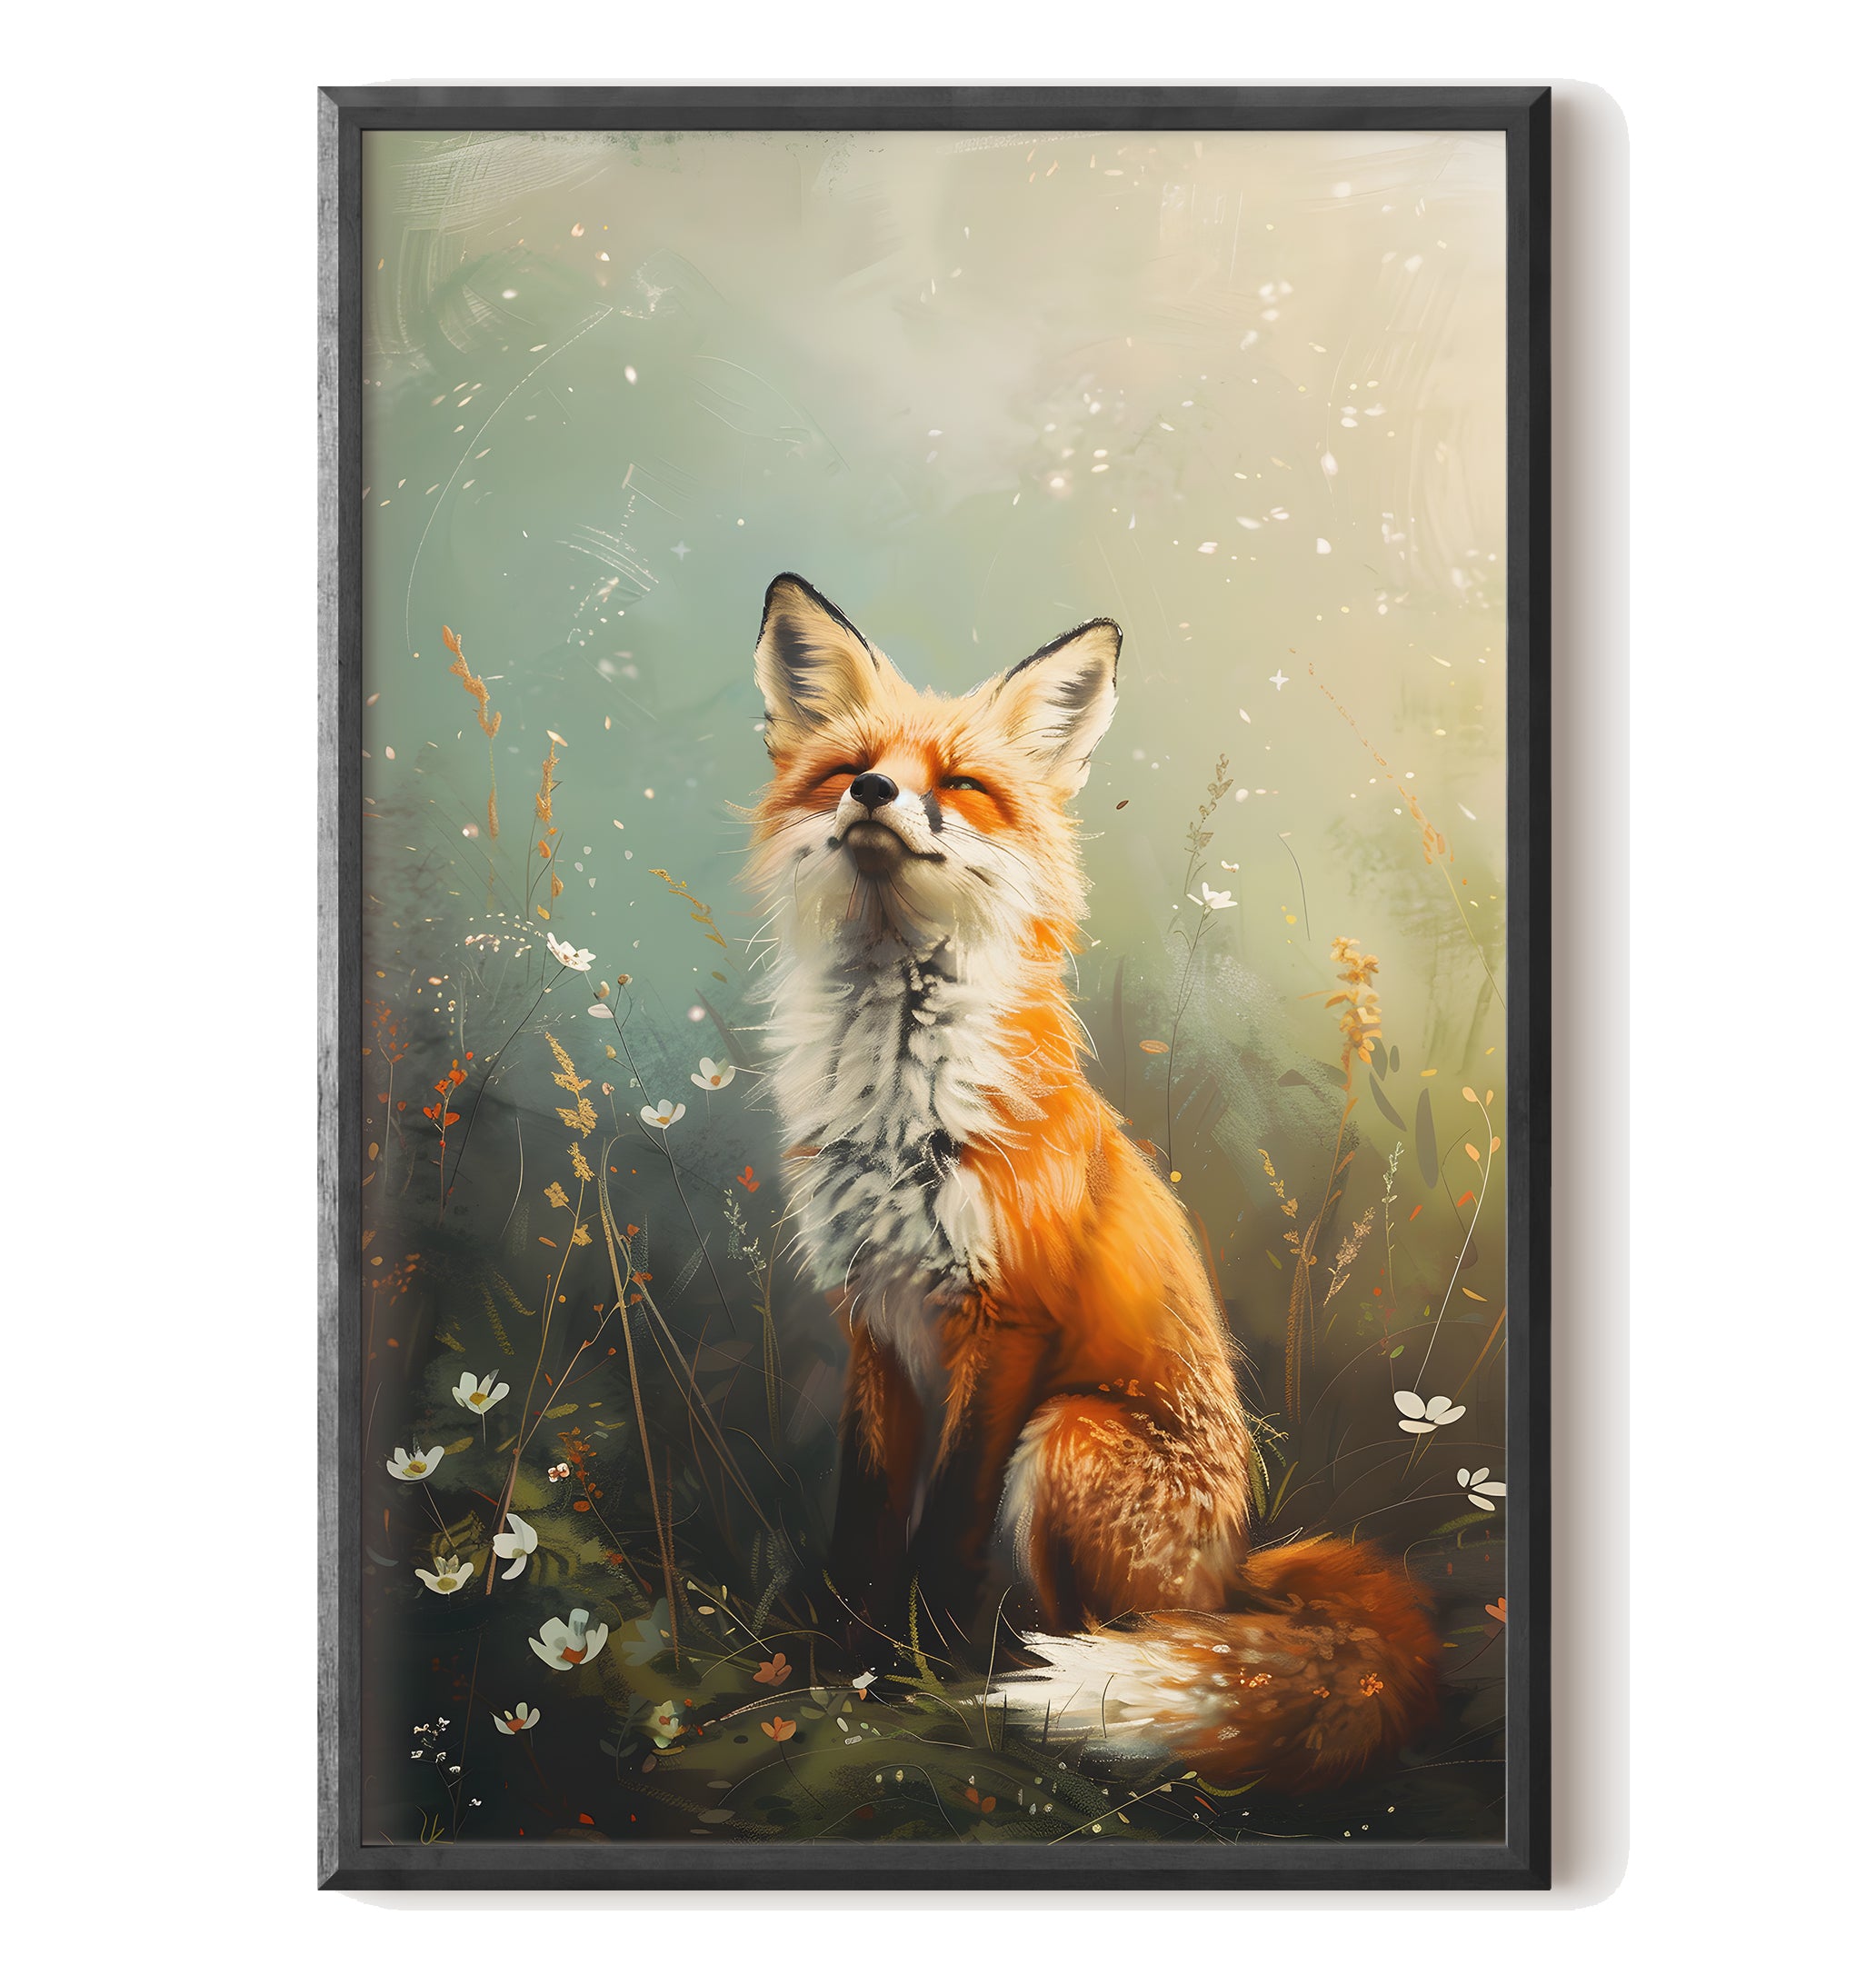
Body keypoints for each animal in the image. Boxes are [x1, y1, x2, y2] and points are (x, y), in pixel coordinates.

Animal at [745, 572, 1441, 1792]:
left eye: (961, 786)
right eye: (850, 768)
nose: (876, 793)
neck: (900, 1095)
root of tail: (1236, 1575)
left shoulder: (1008, 1318)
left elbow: (943, 1532)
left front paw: (917, 1676)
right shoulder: (871, 1316)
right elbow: (863, 1519)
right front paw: (843, 1662)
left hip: (1067, 1435)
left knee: (1119, 1638)